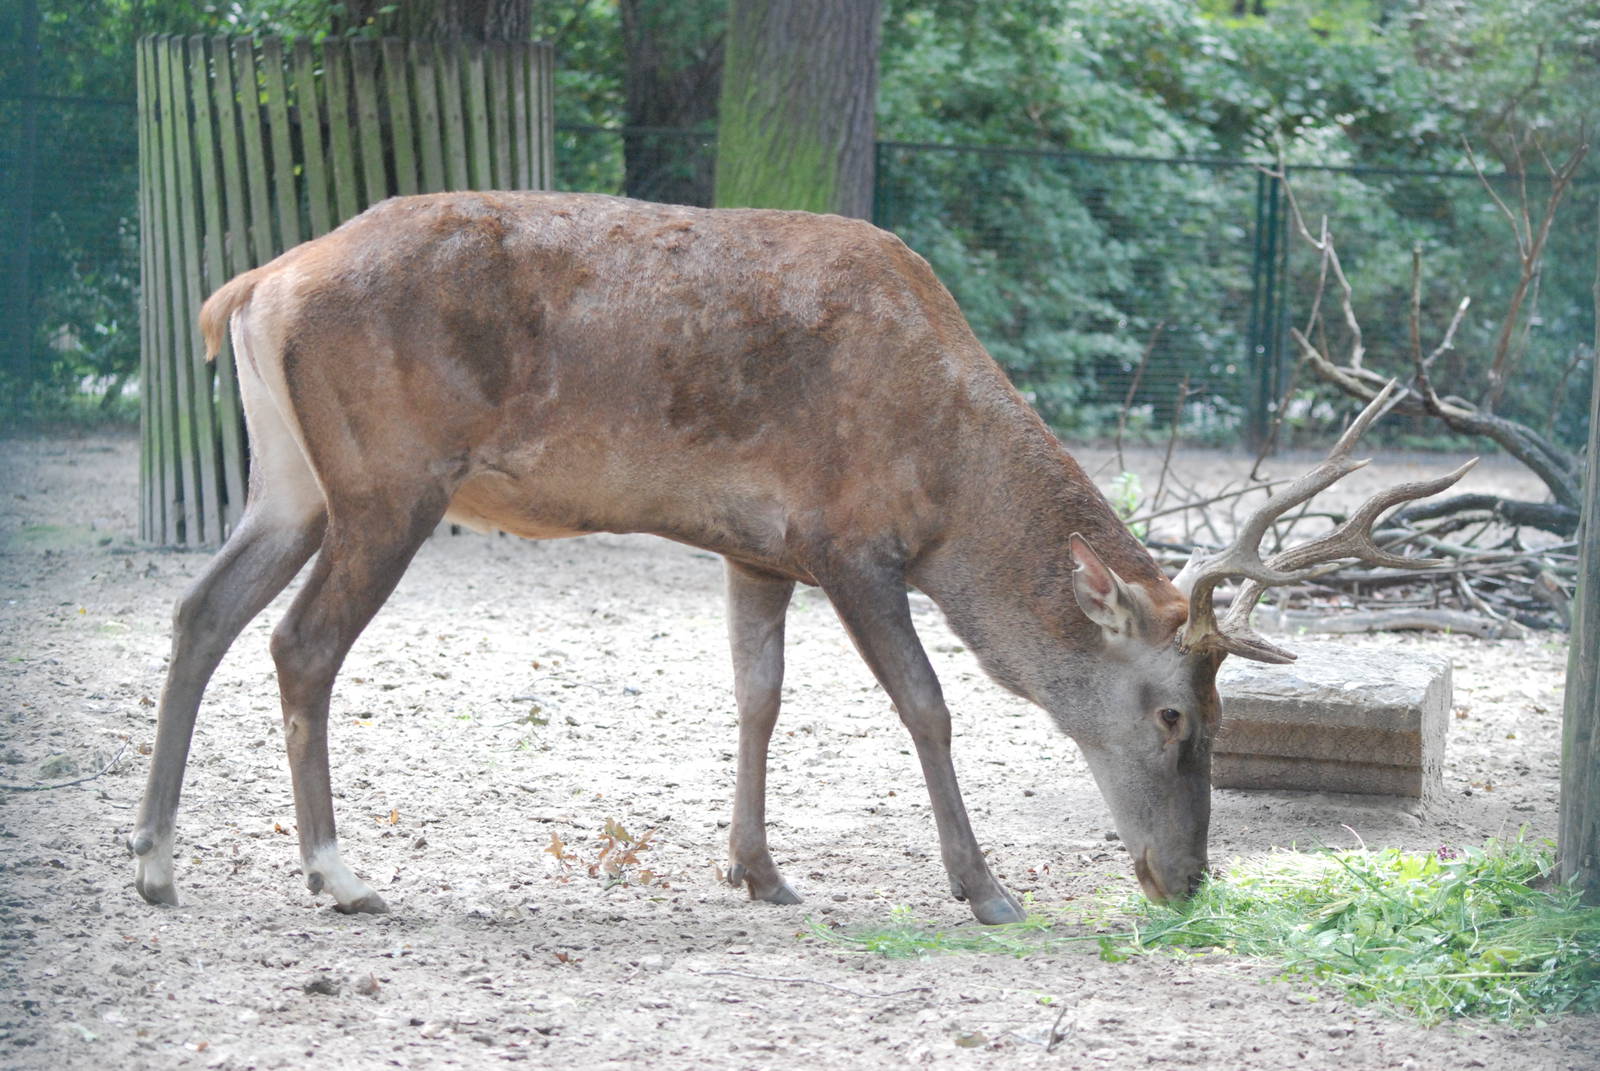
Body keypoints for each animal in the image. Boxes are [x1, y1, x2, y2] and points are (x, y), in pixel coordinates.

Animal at [128, 192, 1471, 924]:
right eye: (1176, 716)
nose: (1185, 880)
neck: (948, 484)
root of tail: (248, 288)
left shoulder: (758, 549)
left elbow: (757, 695)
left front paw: (758, 870)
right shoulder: (848, 538)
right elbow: (928, 703)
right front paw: (985, 888)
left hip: (289, 482)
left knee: (200, 614)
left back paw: (153, 863)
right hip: (386, 480)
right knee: (300, 645)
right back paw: (337, 874)